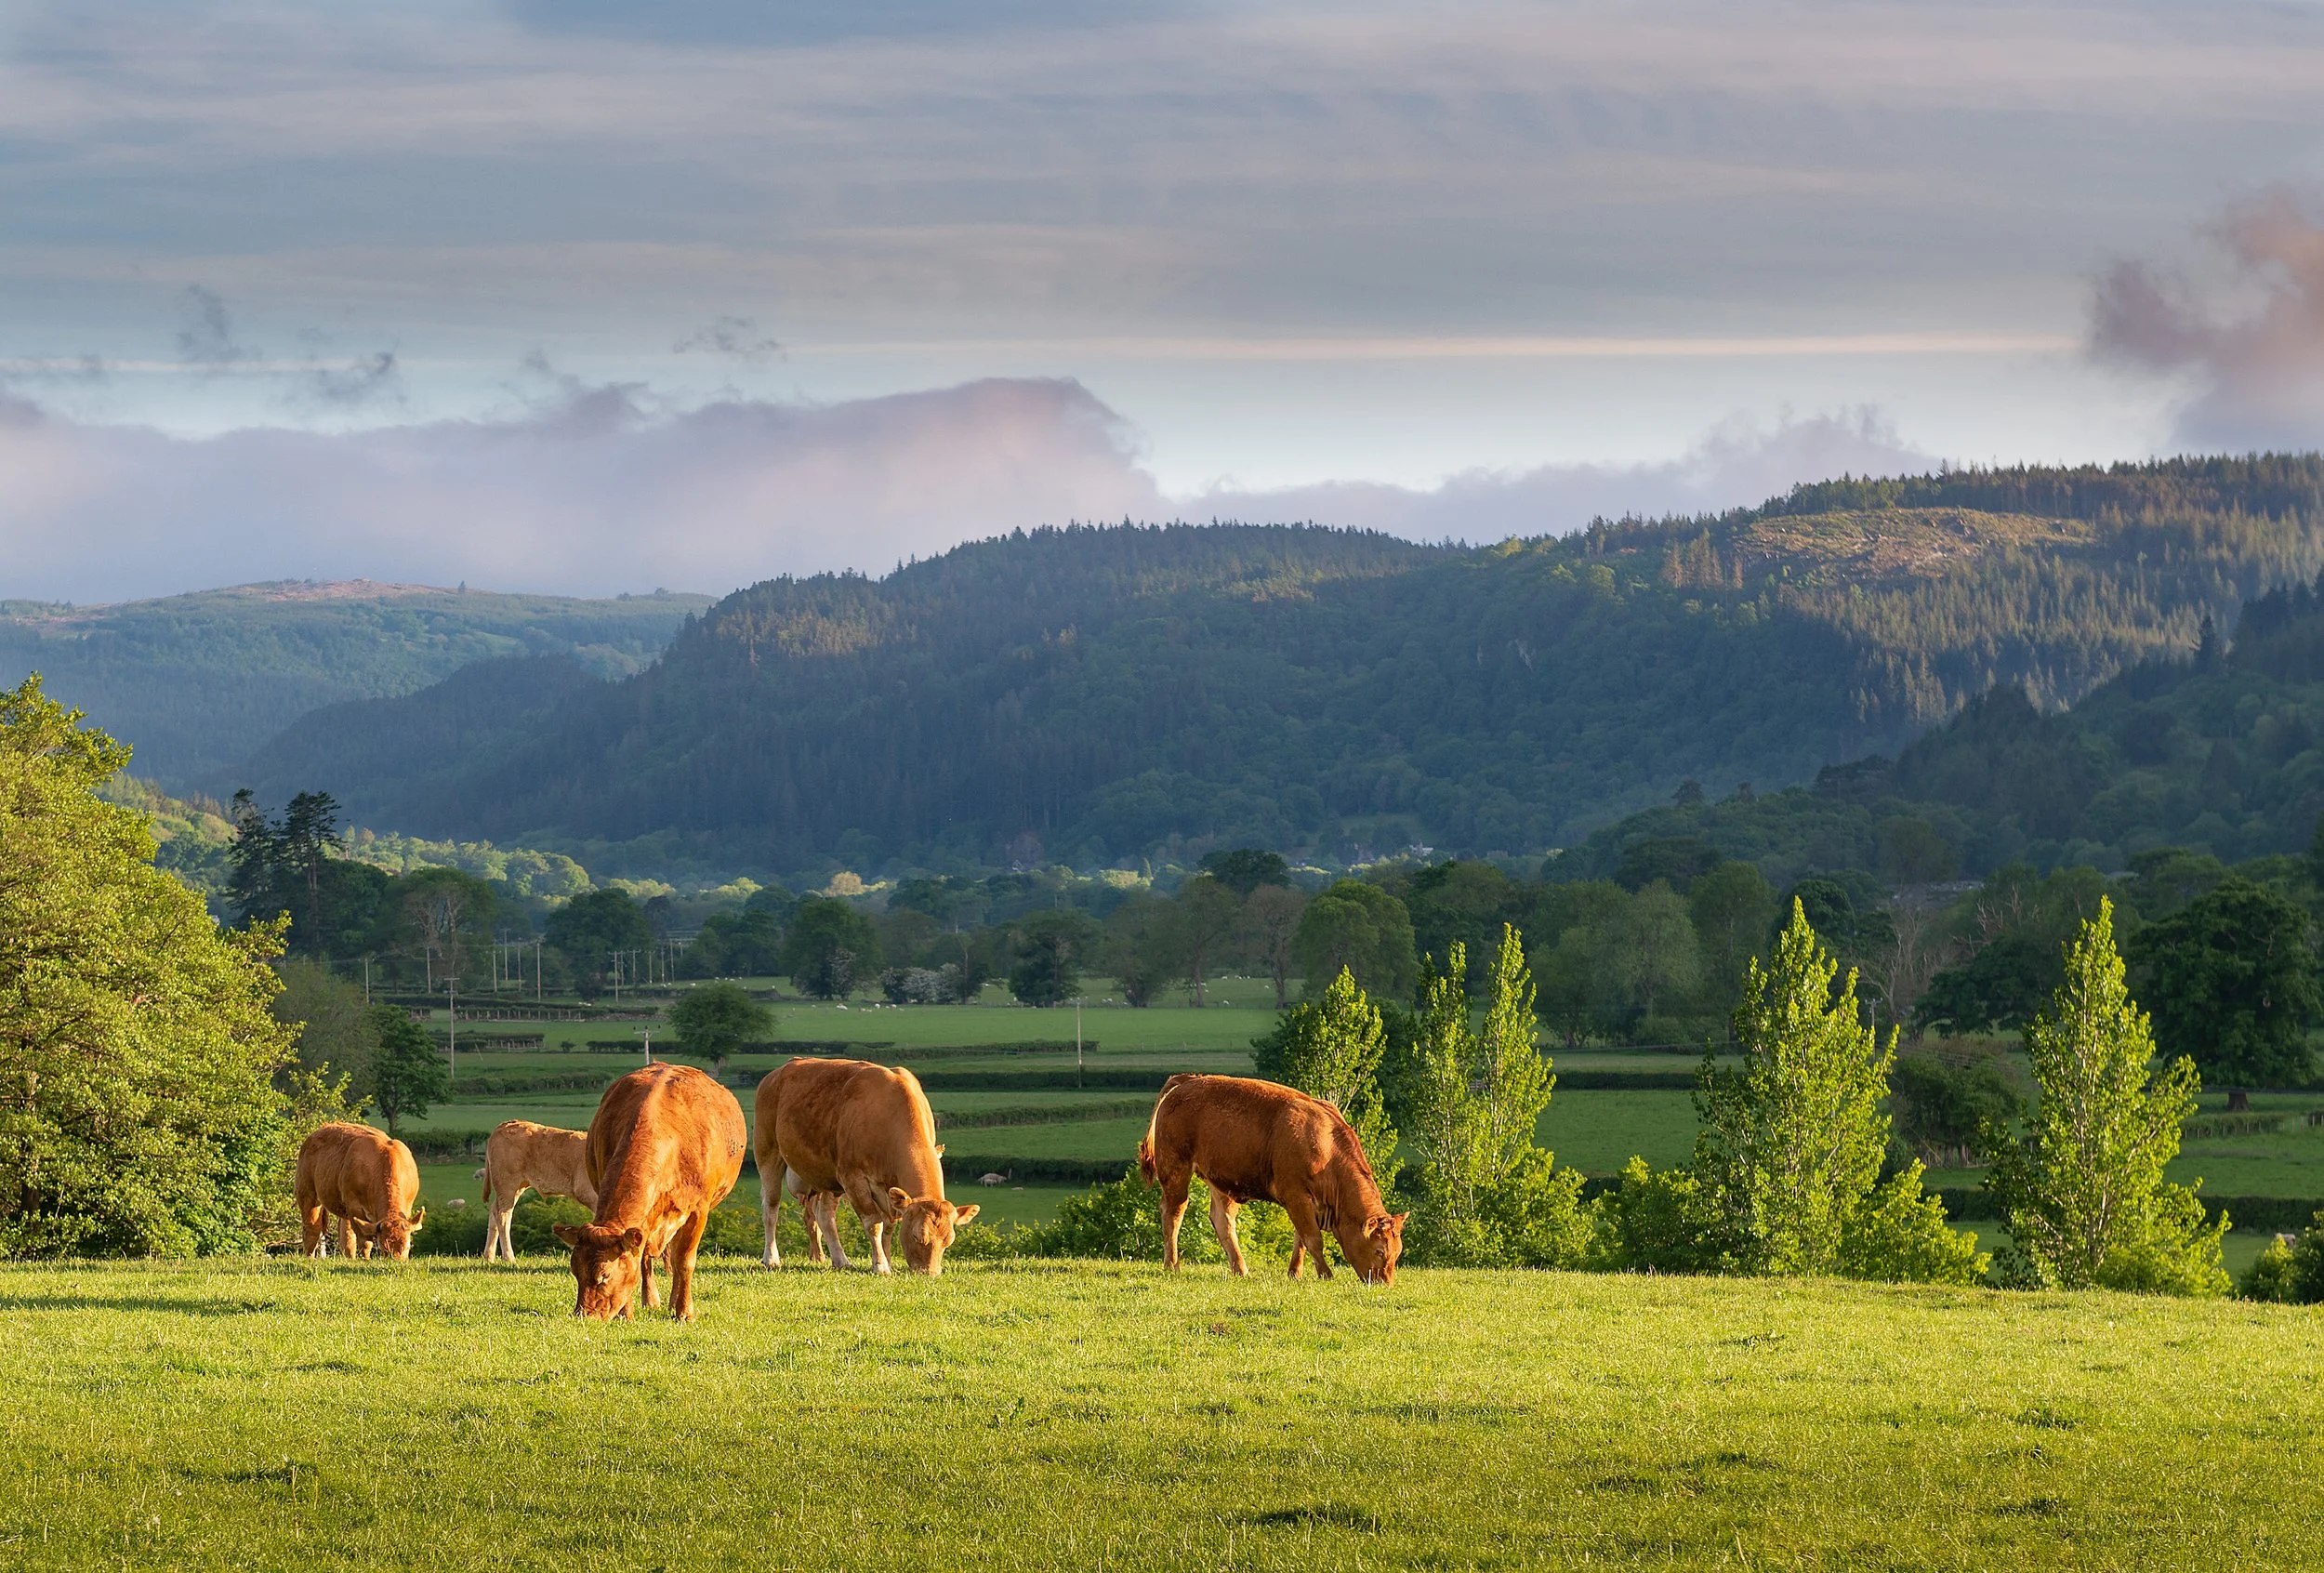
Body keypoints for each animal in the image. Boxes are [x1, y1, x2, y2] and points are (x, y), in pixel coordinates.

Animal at [296, 1123, 426, 1261]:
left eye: (407, 1247)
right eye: (383, 1249)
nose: (396, 1261)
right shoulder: (355, 1207)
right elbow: (365, 1242)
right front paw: (366, 1260)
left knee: (346, 1233)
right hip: (306, 1192)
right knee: (312, 1229)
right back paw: (310, 1258)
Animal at [475, 1120, 598, 1262]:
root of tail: (507, 1124)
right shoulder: (587, 1193)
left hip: (515, 1187)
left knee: (494, 1210)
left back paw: (489, 1257)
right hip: (507, 1185)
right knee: (503, 1215)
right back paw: (509, 1258)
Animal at [552, 1062, 747, 1322]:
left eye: (605, 1275)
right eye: (575, 1272)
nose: (584, 1315)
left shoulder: (699, 1209)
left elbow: (684, 1260)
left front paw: (684, 1312)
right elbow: (639, 1260)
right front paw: (626, 1313)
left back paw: (674, 1301)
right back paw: (651, 1300)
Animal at [753, 1057, 979, 1275]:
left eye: (948, 1241)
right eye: (917, 1236)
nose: (929, 1273)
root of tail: (778, 1072)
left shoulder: (888, 1193)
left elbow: (888, 1228)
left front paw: (886, 1261)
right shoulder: (854, 1179)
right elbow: (874, 1225)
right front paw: (880, 1265)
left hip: (828, 1175)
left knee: (825, 1216)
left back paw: (841, 1260)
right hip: (768, 1152)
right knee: (771, 1208)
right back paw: (771, 1258)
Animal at [1137, 1073, 1406, 1284]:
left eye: (1397, 1252)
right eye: (1379, 1251)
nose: (1385, 1283)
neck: (1326, 1144)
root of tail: (1189, 1080)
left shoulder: (1307, 1203)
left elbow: (1301, 1240)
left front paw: (1295, 1273)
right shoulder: (1296, 1195)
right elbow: (1313, 1239)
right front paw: (1326, 1274)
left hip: (1223, 1181)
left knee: (1223, 1221)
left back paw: (1240, 1269)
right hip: (1175, 1169)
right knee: (1174, 1212)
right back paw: (1172, 1266)